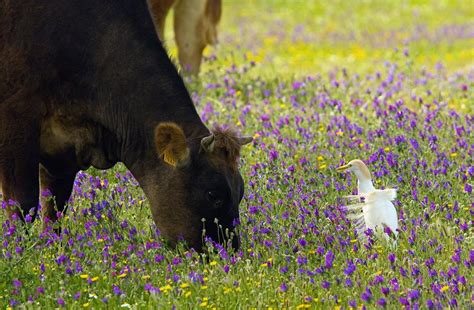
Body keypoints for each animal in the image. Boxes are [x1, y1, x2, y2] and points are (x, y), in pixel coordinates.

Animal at [0, 0, 252, 252]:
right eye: (213, 194)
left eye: (240, 191)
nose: (229, 251)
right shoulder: (15, 121)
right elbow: (22, 203)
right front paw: (17, 249)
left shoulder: (64, 150)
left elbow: (54, 207)